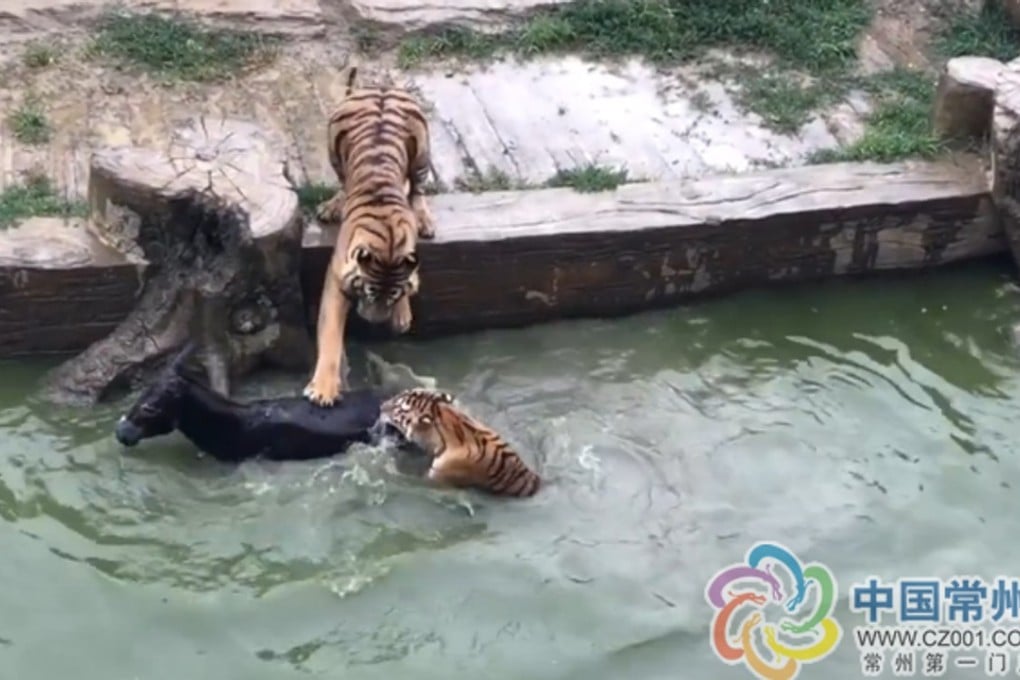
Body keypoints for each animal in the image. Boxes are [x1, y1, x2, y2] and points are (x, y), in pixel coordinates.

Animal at [304, 65, 437, 407]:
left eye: (390, 297)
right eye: (368, 293)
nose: (376, 323)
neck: (388, 243)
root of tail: (379, 87)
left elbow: (411, 278)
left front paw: (402, 315)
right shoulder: (337, 280)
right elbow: (331, 336)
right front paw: (324, 389)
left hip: (421, 150)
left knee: (417, 189)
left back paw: (424, 217)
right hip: (334, 143)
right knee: (341, 181)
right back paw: (332, 206)